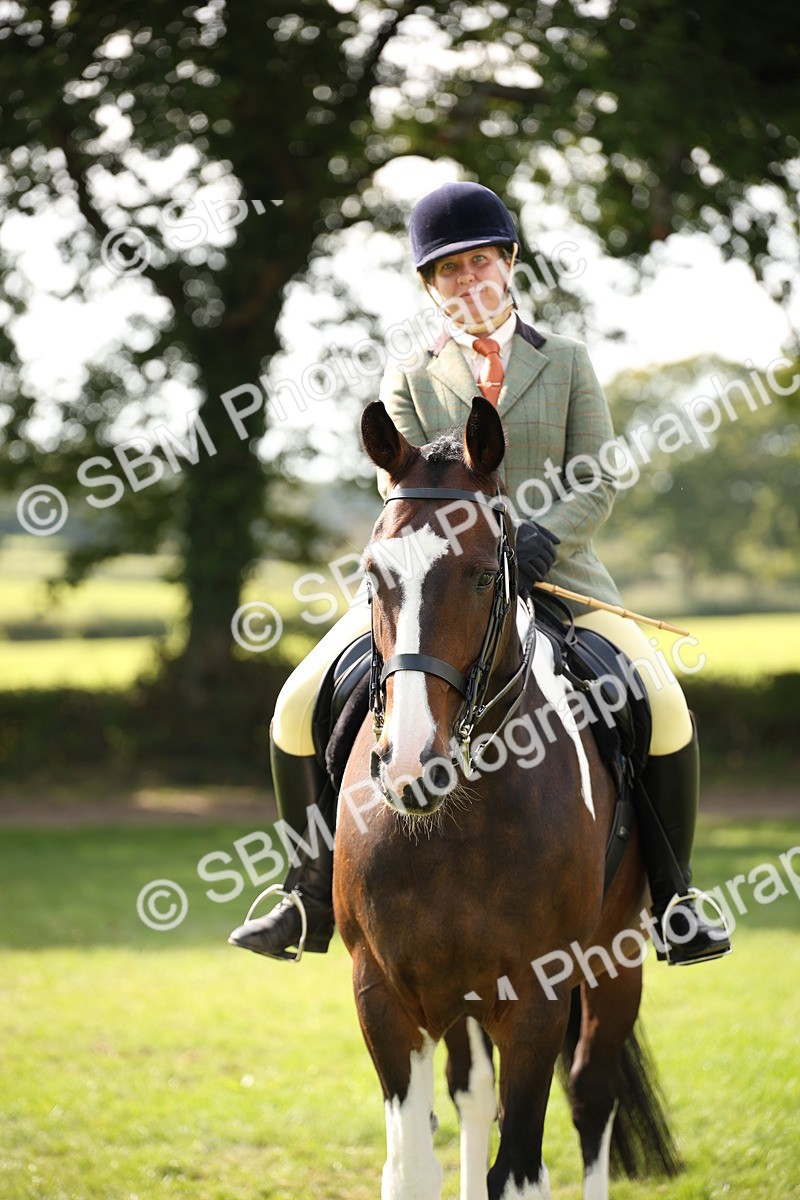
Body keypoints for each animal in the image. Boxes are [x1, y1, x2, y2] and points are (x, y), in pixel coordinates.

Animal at [332, 396, 681, 1200]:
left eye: (487, 575)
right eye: (373, 574)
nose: (411, 766)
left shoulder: (538, 996)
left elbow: (520, 1168)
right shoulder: (384, 995)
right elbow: (411, 1167)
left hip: (615, 961)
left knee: (591, 1096)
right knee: (472, 1094)